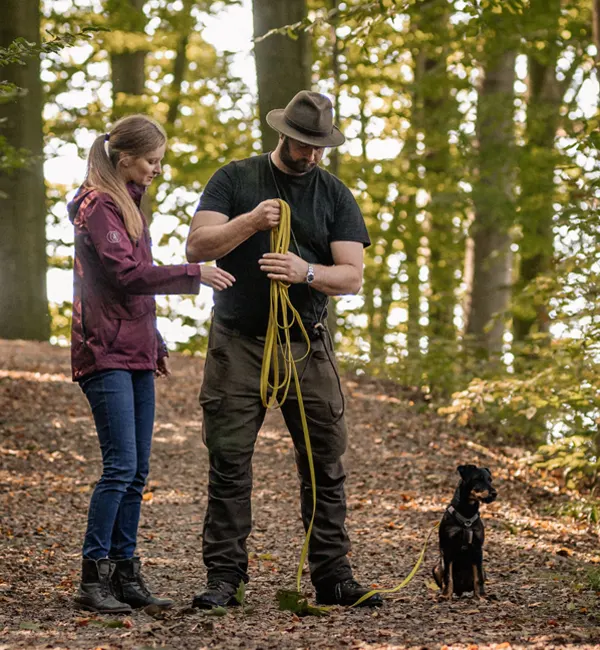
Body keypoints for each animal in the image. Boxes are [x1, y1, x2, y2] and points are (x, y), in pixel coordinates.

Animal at [432, 466, 496, 596]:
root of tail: (460, 591)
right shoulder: (447, 548)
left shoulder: (477, 549)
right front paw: (446, 596)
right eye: (478, 479)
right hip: (436, 567)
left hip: (483, 569)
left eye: (490, 480)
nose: (495, 494)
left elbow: (478, 577)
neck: (467, 513)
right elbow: (448, 577)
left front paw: (481, 596)